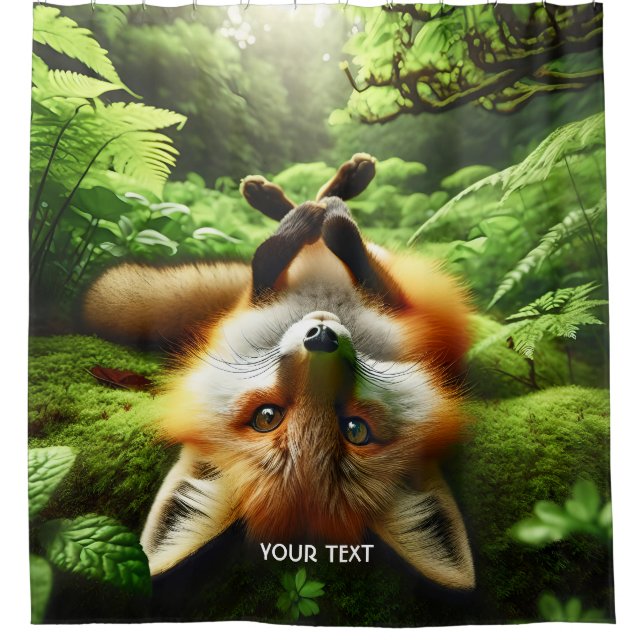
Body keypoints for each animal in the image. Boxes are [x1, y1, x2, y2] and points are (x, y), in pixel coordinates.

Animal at [83, 154, 475, 590]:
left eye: (355, 430)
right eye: (268, 417)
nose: (321, 337)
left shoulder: (414, 318)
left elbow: (314, 253)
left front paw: (323, 217)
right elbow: (280, 257)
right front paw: (317, 218)